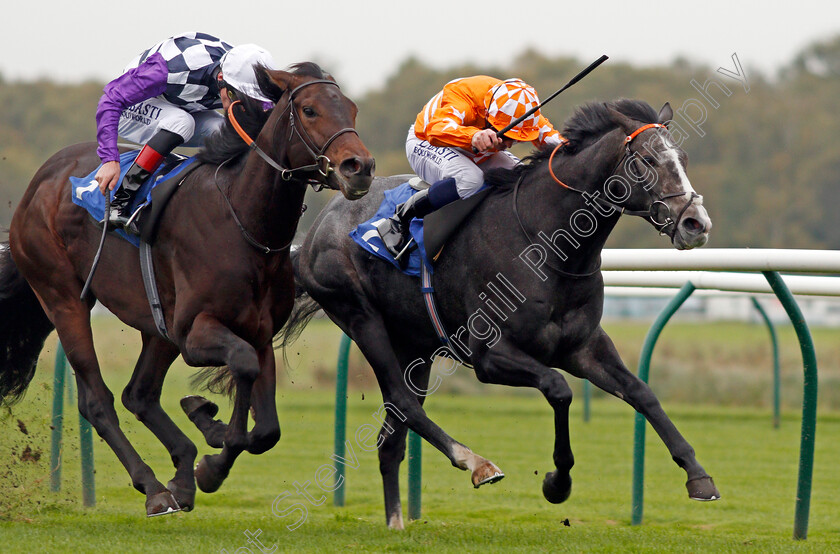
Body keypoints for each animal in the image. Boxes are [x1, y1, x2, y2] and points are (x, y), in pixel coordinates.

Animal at [0, 62, 374, 516]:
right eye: (309, 110)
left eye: (352, 109)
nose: (360, 166)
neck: (243, 221)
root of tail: (40, 181)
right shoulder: (195, 332)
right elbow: (243, 368)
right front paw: (213, 450)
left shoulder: (259, 332)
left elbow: (267, 430)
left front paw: (207, 436)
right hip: (64, 299)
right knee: (98, 402)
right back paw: (155, 487)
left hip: (157, 325)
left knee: (139, 394)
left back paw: (180, 476)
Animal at [280, 98, 716, 528]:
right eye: (647, 160)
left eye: (683, 158)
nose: (696, 224)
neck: (548, 244)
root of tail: (314, 233)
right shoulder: (490, 355)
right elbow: (559, 389)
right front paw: (557, 483)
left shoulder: (584, 347)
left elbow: (643, 393)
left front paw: (698, 476)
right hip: (360, 316)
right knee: (403, 401)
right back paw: (476, 463)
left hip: (413, 344)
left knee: (393, 434)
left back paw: (397, 522)